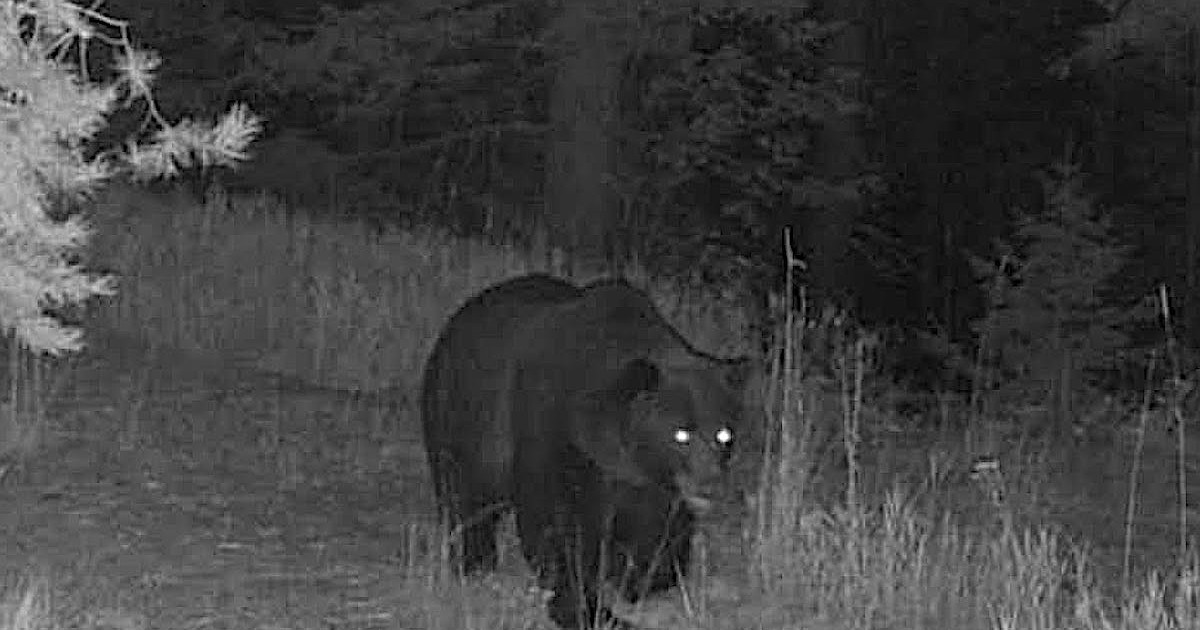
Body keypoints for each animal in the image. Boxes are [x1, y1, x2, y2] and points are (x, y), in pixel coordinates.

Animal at [420, 274, 754, 629]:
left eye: (724, 434)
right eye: (681, 434)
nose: (710, 486)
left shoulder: (649, 483)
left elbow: (659, 530)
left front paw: (636, 575)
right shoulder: (555, 431)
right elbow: (556, 523)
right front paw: (583, 601)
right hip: (459, 415)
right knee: (464, 496)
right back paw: (476, 561)